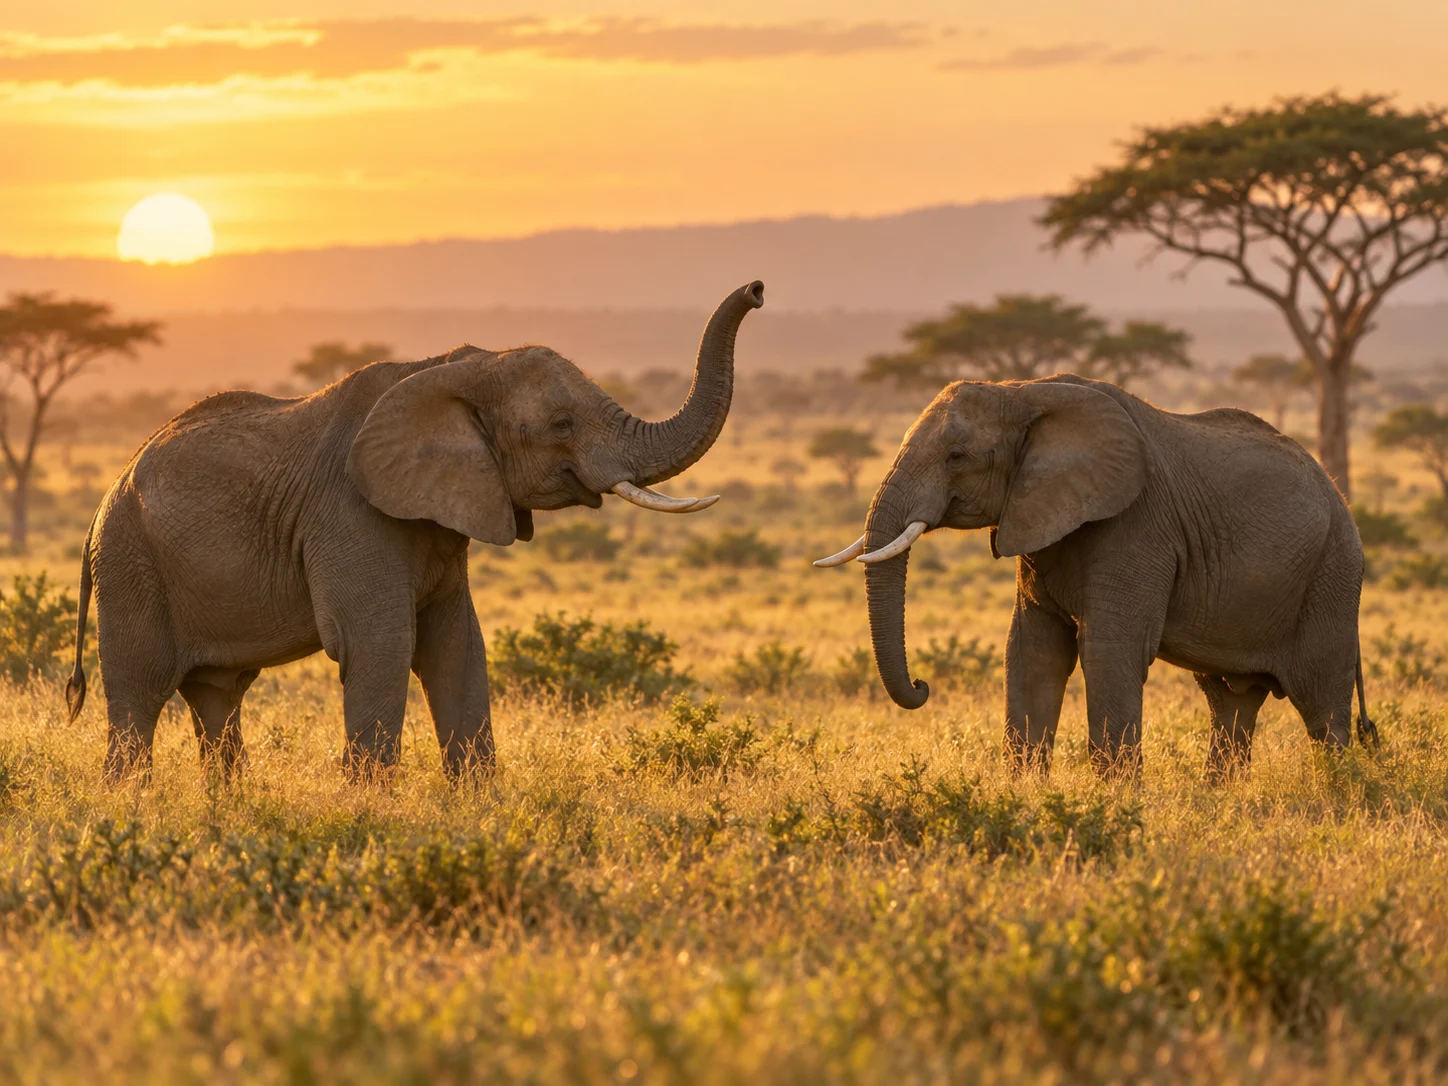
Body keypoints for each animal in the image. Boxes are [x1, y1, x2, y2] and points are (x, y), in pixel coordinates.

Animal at [65, 281, 764, 781]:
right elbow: (381, 643)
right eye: (561, 425)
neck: (453, 369)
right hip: (132, 566)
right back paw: (131, 802)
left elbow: (457, 646)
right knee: (140, 694)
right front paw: (366, 813)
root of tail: (104, 500)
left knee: (217, 696)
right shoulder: (351, 513)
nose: (758, 289)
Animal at [816, 373, 1376, 777]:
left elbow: (1108, 650)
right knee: (1231, 702)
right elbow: (1033, 651)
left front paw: (1115, 799)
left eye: (957, 457)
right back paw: (1220, 798)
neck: (1024, 391)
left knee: (1322, 708)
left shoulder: (1138, 524)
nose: (922, 684)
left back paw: (1338, 794)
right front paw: (1023, 793)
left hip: (1332, 575)